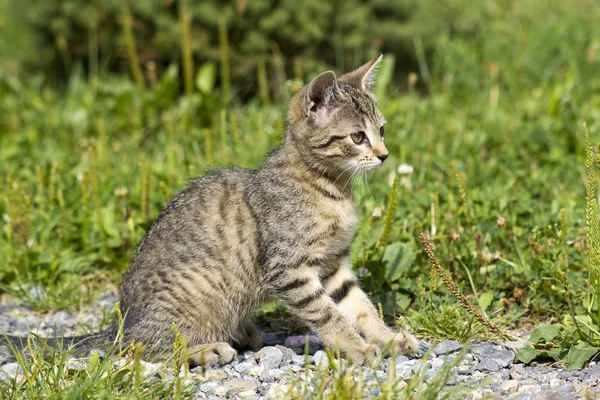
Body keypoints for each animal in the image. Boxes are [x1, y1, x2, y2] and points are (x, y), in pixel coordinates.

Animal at [2, 55, 420, 366]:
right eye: (357, 137)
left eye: (382, 130)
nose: (384, 155)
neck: (331, 188)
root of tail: (120, 322)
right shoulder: (290, 268)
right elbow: (328, 314)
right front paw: (358, 348)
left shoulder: (333, 264)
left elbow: (360, 307)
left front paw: (389, 339)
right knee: (137, 349)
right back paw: (207, 349)